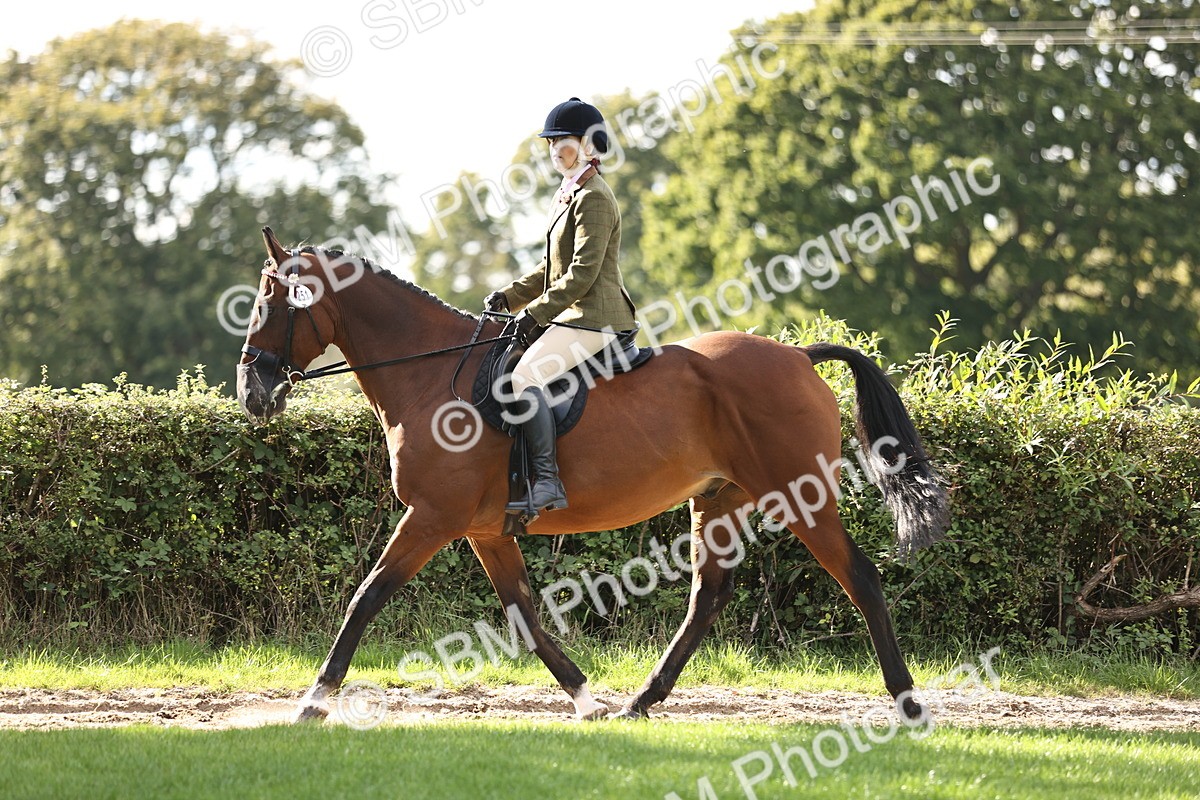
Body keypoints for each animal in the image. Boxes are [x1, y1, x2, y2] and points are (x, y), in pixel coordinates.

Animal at [236, 227, 949, 723]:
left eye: (272, 303)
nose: (252, 392)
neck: (431, 376)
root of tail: (798, 355)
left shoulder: (433, 517)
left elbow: (367, 596)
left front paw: (313, 700)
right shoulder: (484, 531)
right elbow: (524, 614)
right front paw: (585, 699)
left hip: (798, 497)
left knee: (859, 576)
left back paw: (908, 702)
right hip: (720, 500)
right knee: (708, 595)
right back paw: (641, 701)